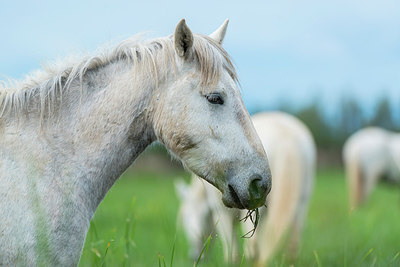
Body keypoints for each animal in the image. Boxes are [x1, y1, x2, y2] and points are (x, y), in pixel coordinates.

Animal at [175, 111, 316, 266]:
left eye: (187, 217)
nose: (195, 257)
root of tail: (286, 137)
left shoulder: (221, 212)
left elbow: (232, 251)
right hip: (302, 202)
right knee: (293, 244)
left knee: (252, 249)